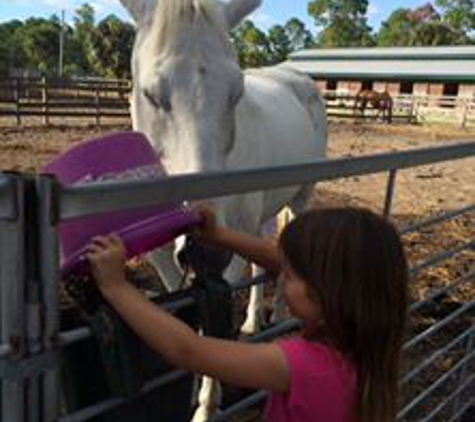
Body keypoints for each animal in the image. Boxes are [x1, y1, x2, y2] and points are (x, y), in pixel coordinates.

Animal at [119, 0, 330, 418]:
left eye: (236, 93)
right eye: (151, 94)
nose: (206, 249)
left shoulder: (227, 261)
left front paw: (205, 406)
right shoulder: (165, 259)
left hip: (300, 197)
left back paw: (281, 318)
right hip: (265, 214)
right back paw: (252, 322)